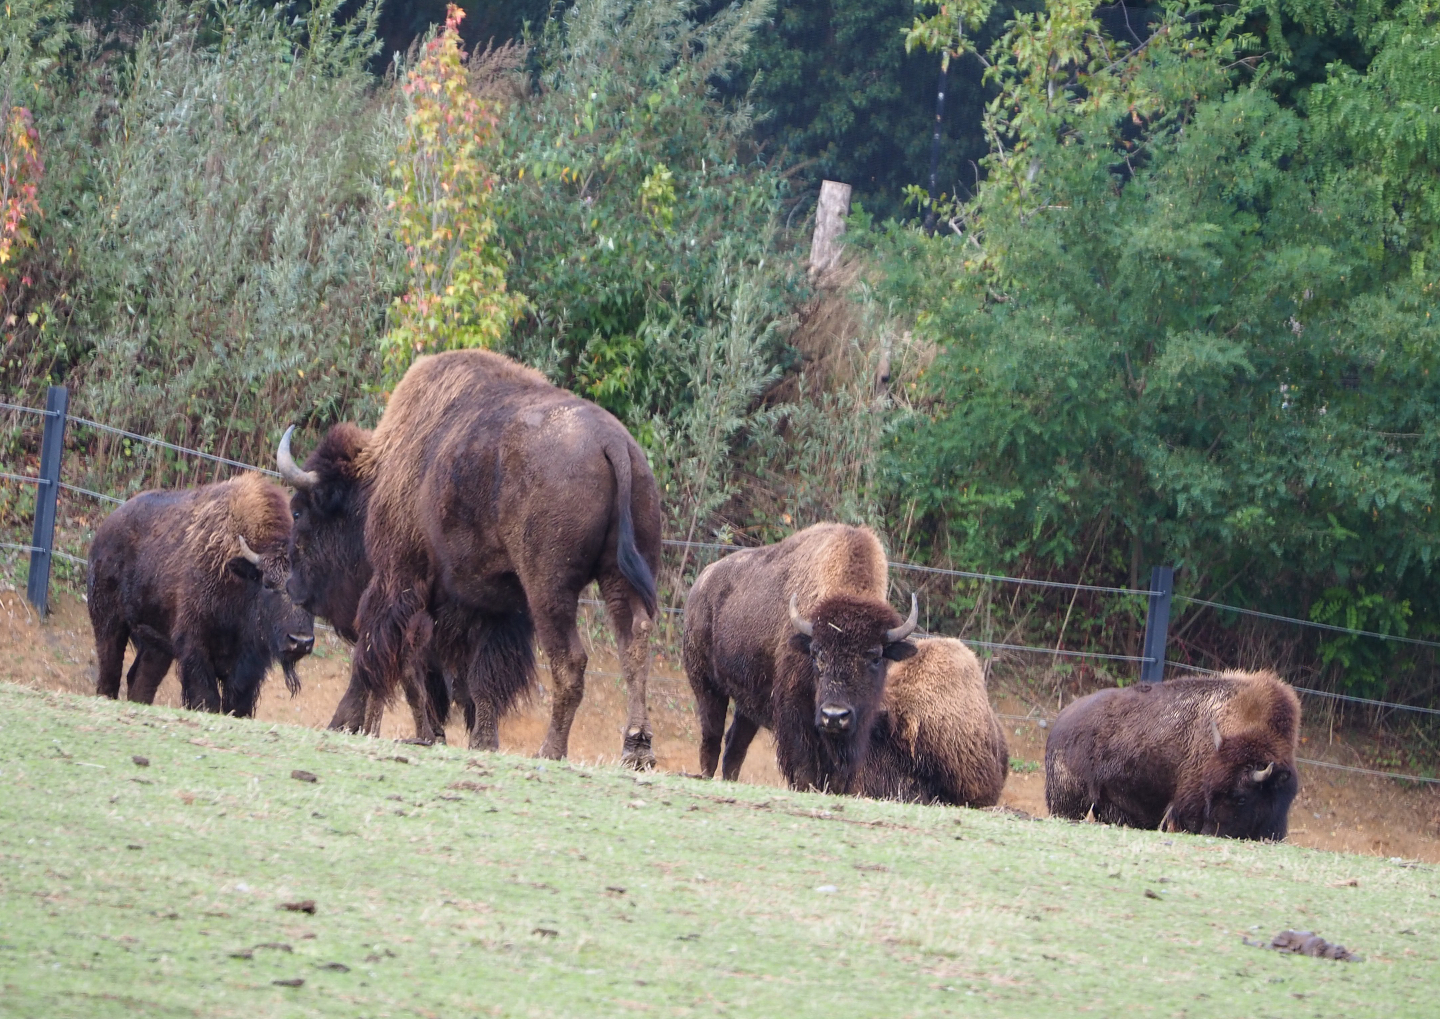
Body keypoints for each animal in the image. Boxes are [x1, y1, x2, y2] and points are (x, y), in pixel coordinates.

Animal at [88, 474, 295, 713]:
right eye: (267, 584)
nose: (300, 641)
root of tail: (103, 530)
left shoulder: (249, 667)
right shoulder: (196, 650)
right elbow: (207, 699)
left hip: (156, 645)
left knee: (140, 680)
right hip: (109, 625)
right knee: (110, 675)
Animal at [277, 349, 662, 765]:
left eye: (299, 512)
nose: (293, 585)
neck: (380, 476)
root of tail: (614, 443)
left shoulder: (402, 580)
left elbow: (388, 661)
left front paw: (367, 726)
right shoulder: (493, 608)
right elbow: (478, 680)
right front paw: (480, 740)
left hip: (549, 590)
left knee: (571, 661)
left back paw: (551, 750)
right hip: (619, 576)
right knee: (634, 641)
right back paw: (637, 748)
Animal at [682, 523, 919, 794]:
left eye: (876, 658)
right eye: (816, 654)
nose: (834, 716)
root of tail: (700, 584)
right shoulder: (795, 710)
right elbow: (804, 765)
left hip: (747, 703)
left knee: (735, 744)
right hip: (706, 684)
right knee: (712, 735)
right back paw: (706, 775)